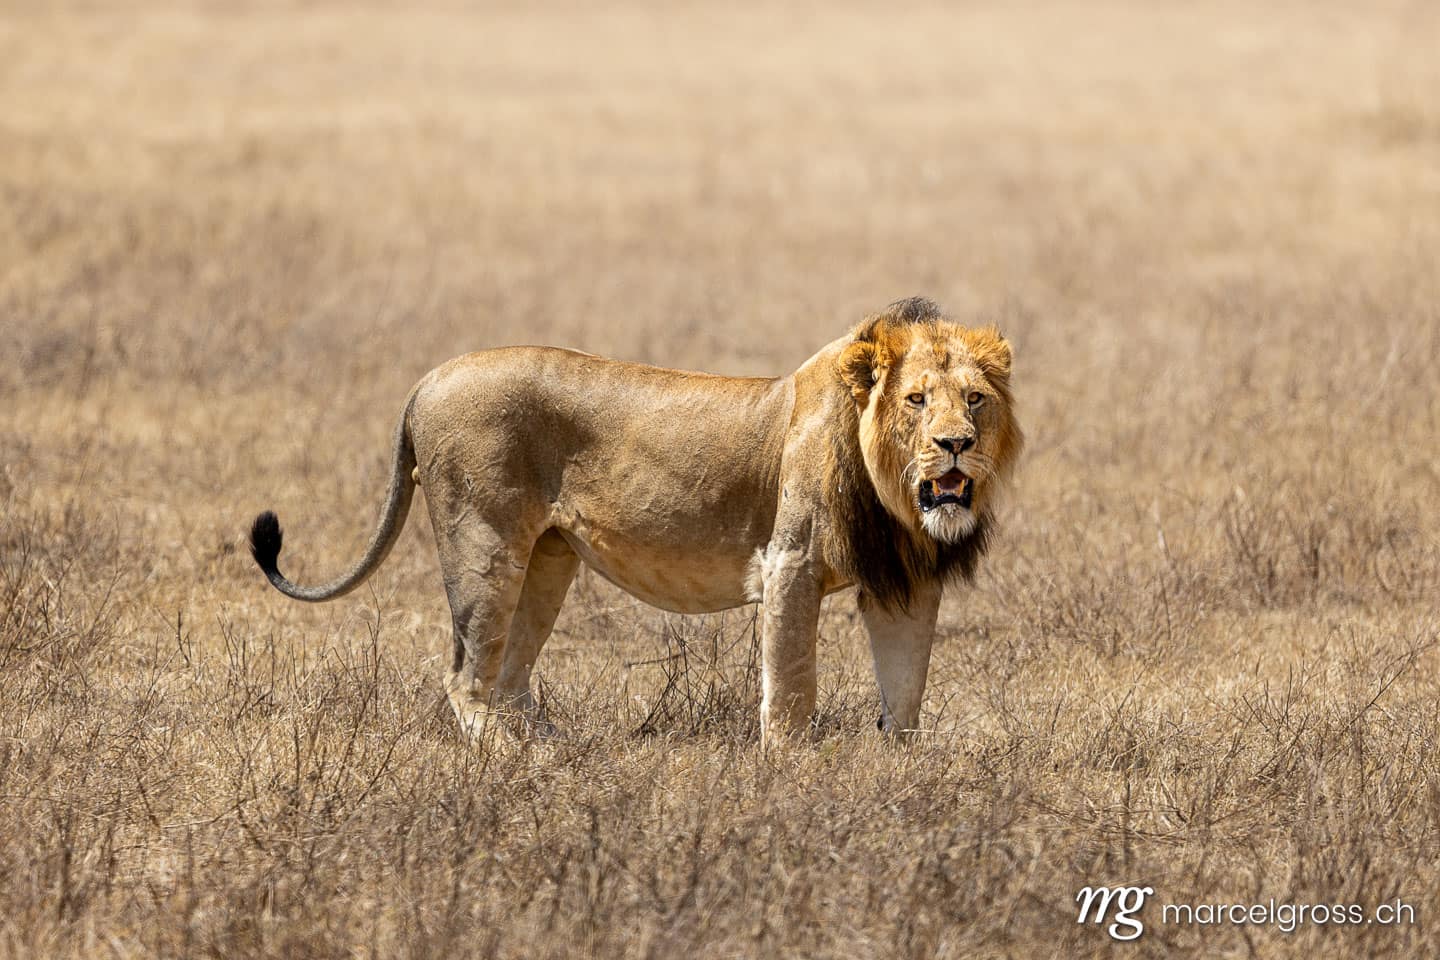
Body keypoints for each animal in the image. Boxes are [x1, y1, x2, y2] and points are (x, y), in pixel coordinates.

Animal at [249, 297, 1022, 745]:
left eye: (975, 400)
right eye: (917, 399)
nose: (956, 444)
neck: (895, 496)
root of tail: (426, 380)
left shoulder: (906, 583)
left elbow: (906, 691)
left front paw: (900, 770)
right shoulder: (791, 563)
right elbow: (792, 688)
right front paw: (790, 774)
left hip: (546, 559)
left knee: (507, 675)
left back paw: (553, 747)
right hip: (482, 543)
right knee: (466, 678)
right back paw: (515, 763)